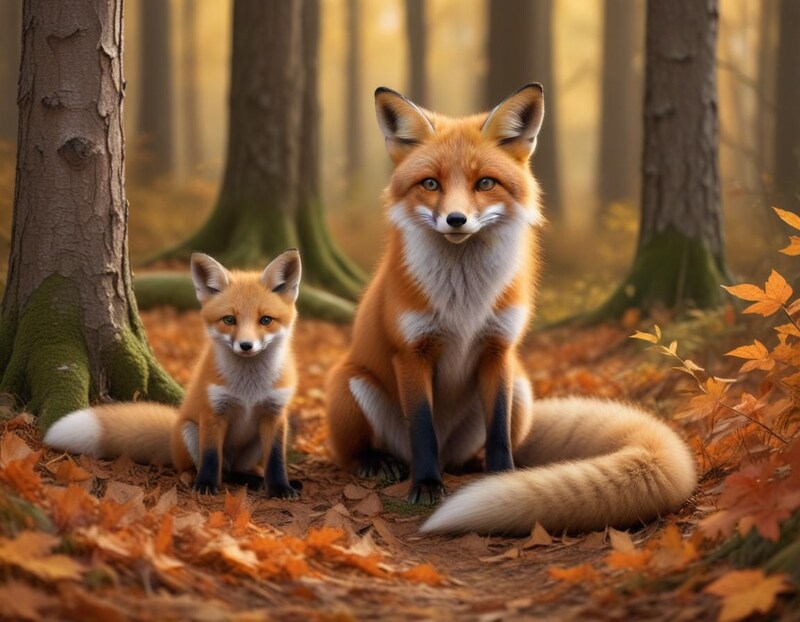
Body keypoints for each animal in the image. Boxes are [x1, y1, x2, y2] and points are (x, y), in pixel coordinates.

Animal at [44, 250, 303, 499]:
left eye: (265, 320)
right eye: (229, 320)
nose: (246, 346)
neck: (249, 389)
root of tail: (172, 438)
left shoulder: (274, 415)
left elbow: (276, 460)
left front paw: (280, 488)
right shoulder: (212, 413)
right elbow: (211, 457)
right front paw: (206, 485)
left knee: (236, 471)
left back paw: (257, 480)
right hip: (190, 431)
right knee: (216, 470)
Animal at [325, 84, 697, 535]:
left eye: (485, 182)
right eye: (430, 183)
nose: (456, 219)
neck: (464, 302)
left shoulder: (498, 349)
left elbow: (498, 430)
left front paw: (503, 480)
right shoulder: (411, 353)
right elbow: (423, 429)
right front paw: (427, 485)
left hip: (521, 388)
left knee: (478, 447)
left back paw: (472, 468)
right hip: (349, 383)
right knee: (358, 451)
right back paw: (377, 462)